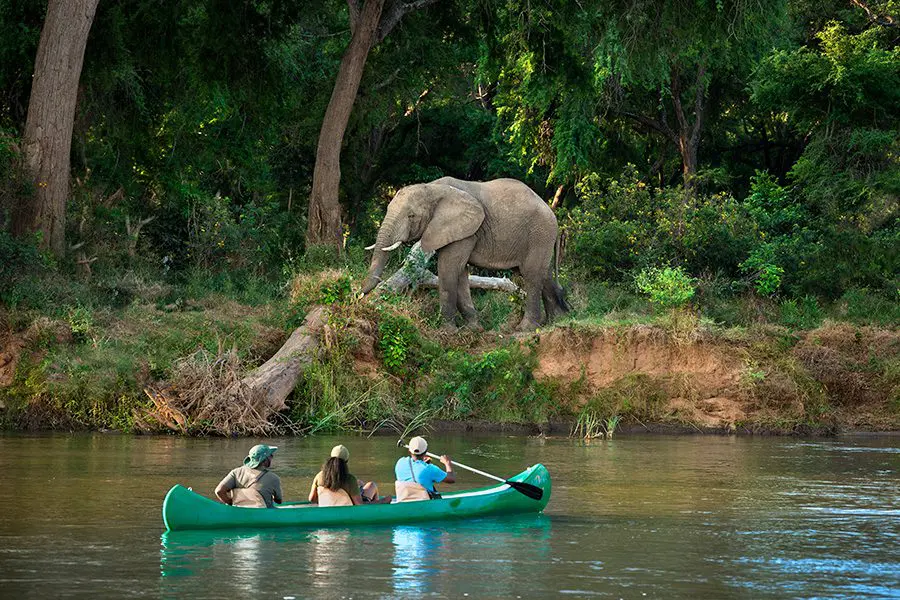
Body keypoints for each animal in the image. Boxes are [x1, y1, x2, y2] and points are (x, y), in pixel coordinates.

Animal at [360, 177, 569, 331]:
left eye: (411, 216)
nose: (359, 295)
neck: (433, 188)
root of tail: (553, 214)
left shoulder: (466, 230)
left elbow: (448, 268)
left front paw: (447, 332)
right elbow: (460, 272)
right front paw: (473, 329)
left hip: (539, 233)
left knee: (531, 275)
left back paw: (525, 329)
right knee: (543, 274)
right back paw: (557, 321)